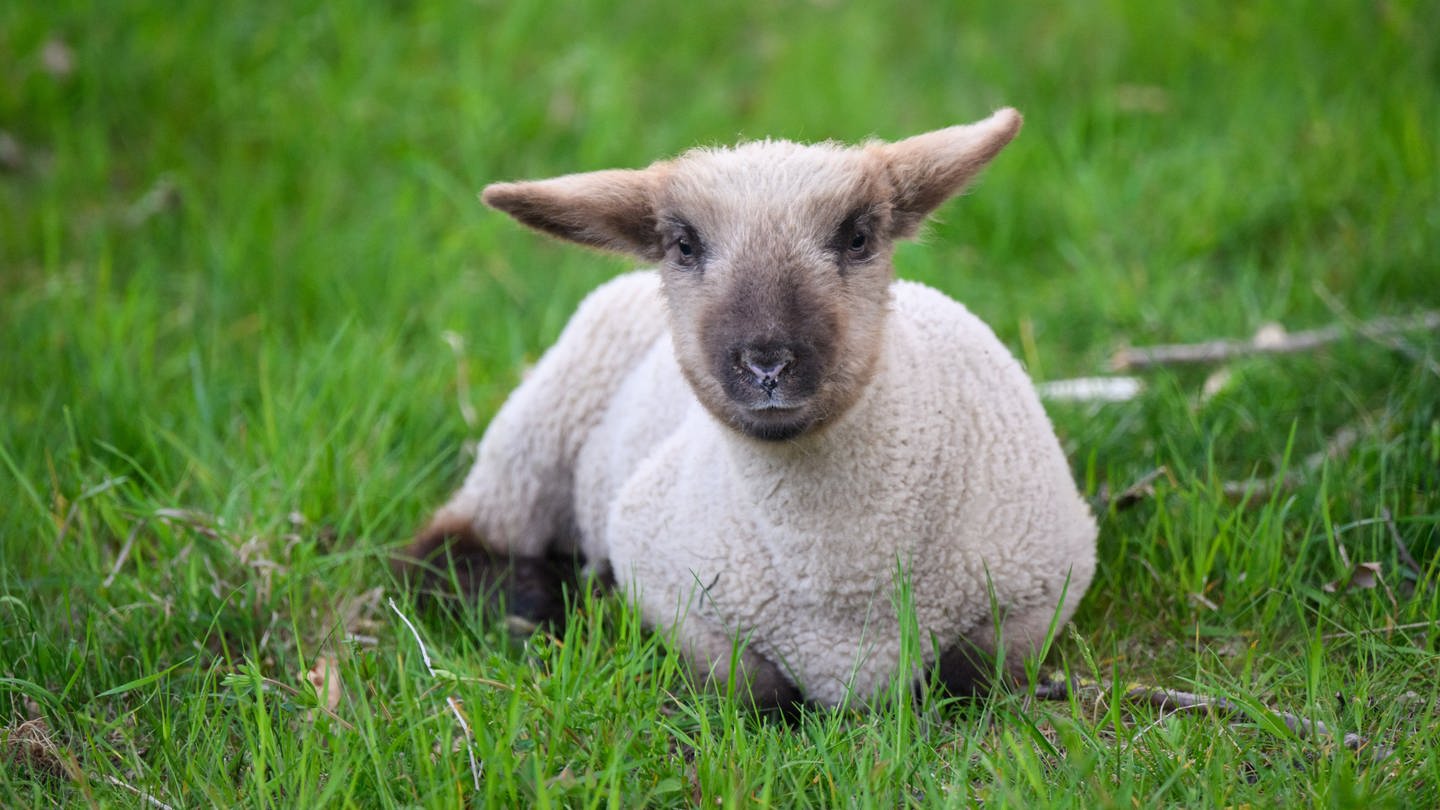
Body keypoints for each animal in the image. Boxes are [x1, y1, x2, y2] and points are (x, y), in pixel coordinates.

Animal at [400, 107, 1094, 706]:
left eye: (859, 236)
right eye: (683, 245)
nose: (767, 365)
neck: (840, 587)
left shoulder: (1046, 580)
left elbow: (968, 674)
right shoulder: (666, 579)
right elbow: (753, 689)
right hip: (534, 435)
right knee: (440, 552)